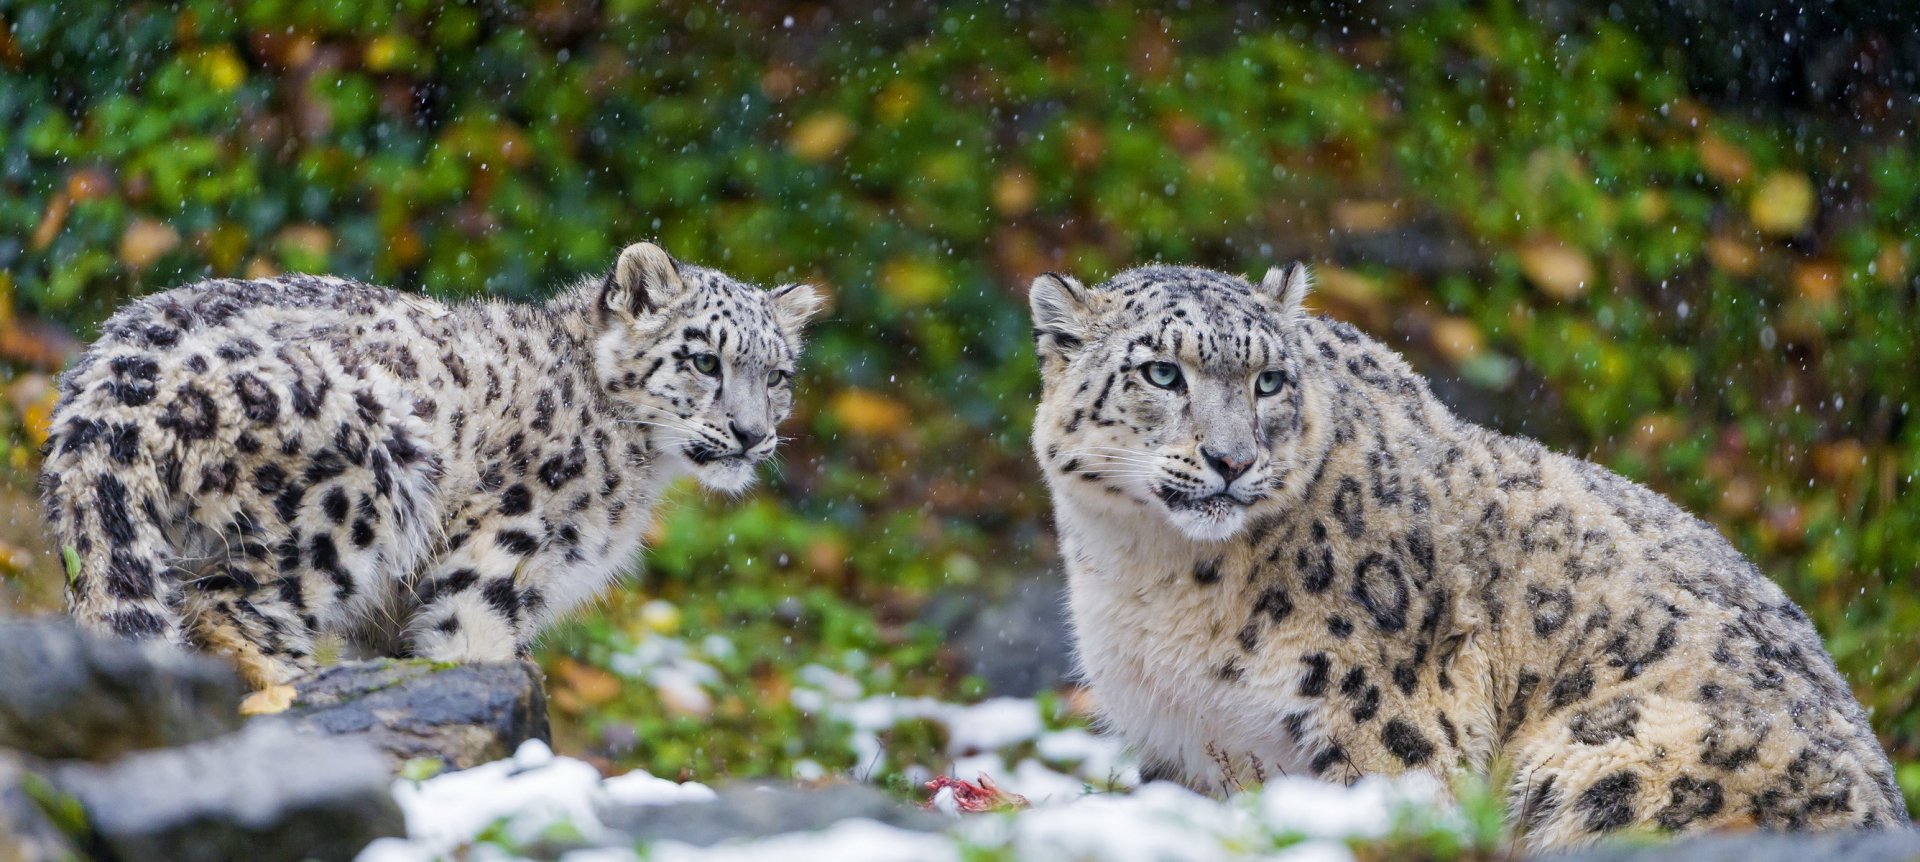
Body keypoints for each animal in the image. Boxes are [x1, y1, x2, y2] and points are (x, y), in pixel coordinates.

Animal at [41, 241, 824, 690]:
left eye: (779, 374)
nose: (753, 434)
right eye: (704, 360)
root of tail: (102, 391)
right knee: (229, 610)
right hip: (357, 489)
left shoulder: (388, 616)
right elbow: (472, 642)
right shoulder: (498, 553)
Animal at [1027, 262, 1907, 849]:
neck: (1155, 581)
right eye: (1161, 372)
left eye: (1270, 381)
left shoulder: (1381, 724)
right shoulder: (1179, 750)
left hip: (1610, 758)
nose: (1232, 460)